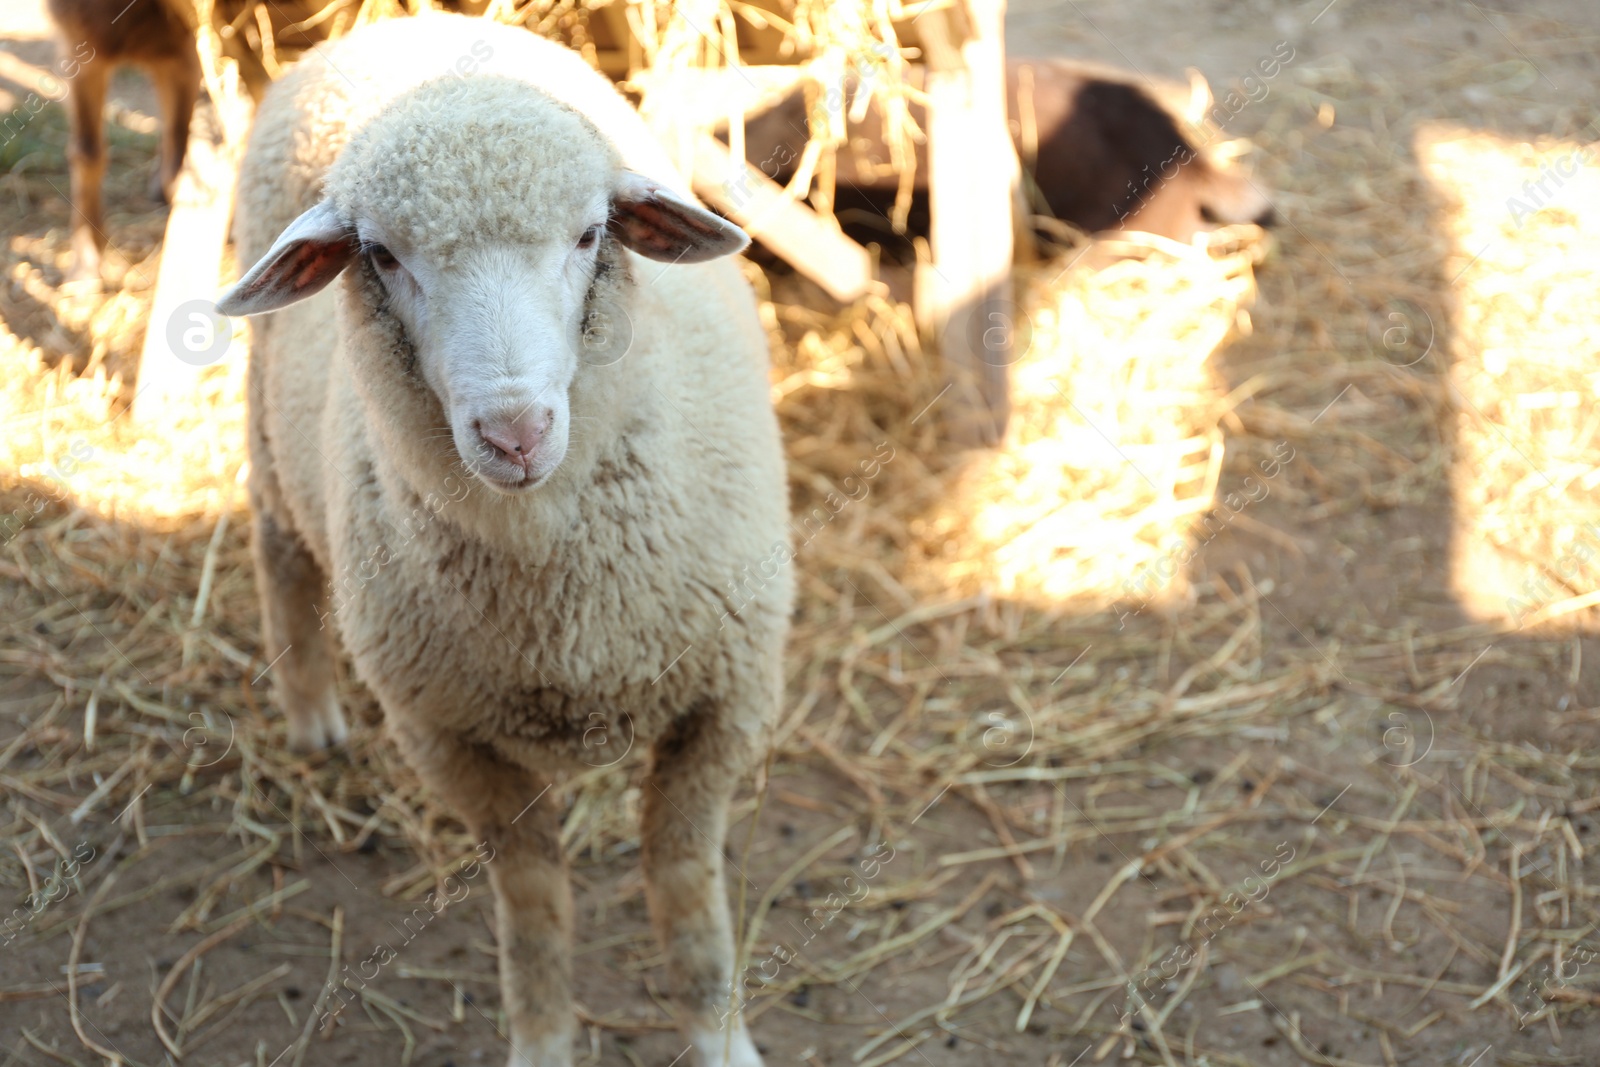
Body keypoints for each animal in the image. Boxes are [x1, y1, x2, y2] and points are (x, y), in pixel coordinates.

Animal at [219, 12, 793, 1062]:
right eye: (382, 255)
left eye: (590, 234)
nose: (514, 432)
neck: (559, 603)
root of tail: (408, 20)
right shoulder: (451, 737)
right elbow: (532, 907)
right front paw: (543, 1034)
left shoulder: (727, 699)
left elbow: (686, 889)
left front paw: (718, 1033)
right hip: (268, 423)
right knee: (277, 539)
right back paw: (310, 708)